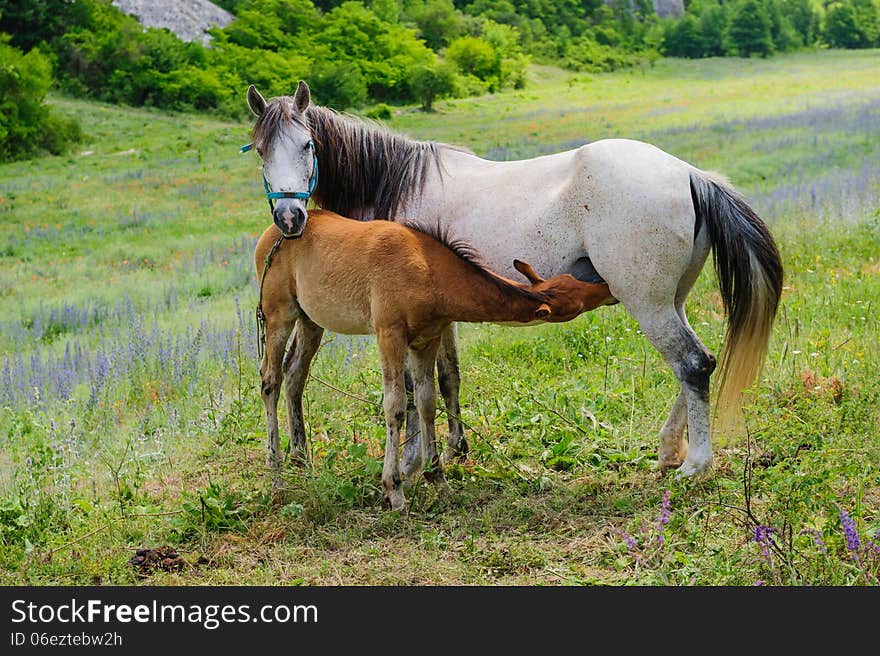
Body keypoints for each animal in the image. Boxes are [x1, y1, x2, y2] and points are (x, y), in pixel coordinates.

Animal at [242, 82, 784, 482]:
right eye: (261, 151)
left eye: (308, 145)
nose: (289, 218)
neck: (398, 181)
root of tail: (690, 173)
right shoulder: (439, 316)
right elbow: (447, 378)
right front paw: (452, 452)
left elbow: (418, 388)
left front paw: (417, 461)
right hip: (671, 299)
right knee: (697, 364)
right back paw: (670, 450)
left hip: (647, 302)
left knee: (691, 364)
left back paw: (695, 465)